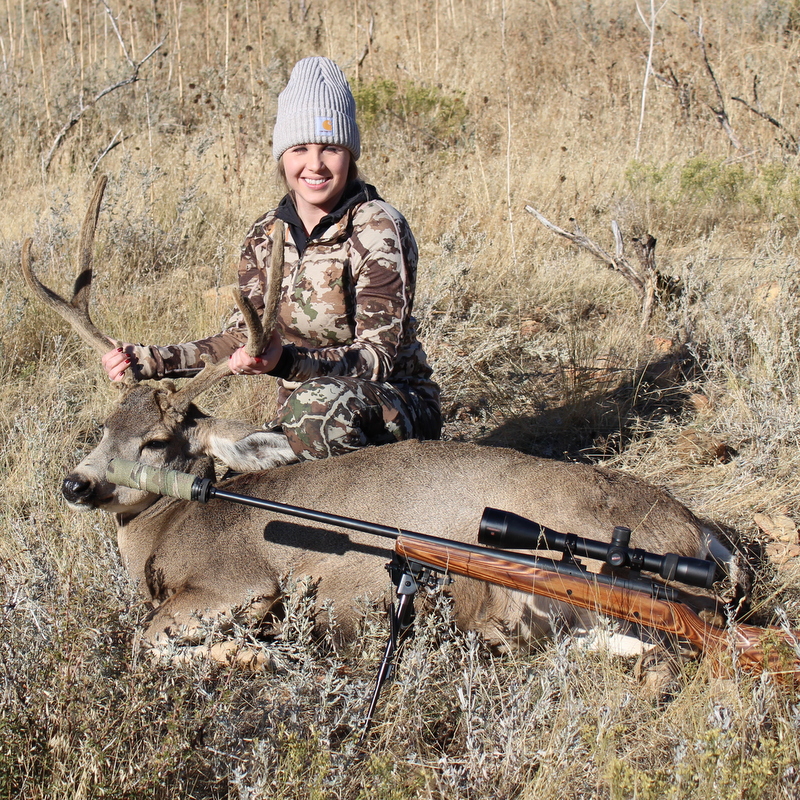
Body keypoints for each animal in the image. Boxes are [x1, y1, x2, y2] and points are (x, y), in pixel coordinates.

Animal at [22, 176, 748, 668]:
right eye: (101, 429)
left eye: (154, 441)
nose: (74, 484)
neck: (169, 527)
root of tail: (701, 535)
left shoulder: (241, 581)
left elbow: (146, 640)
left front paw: (258, 656)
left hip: (512, 593)